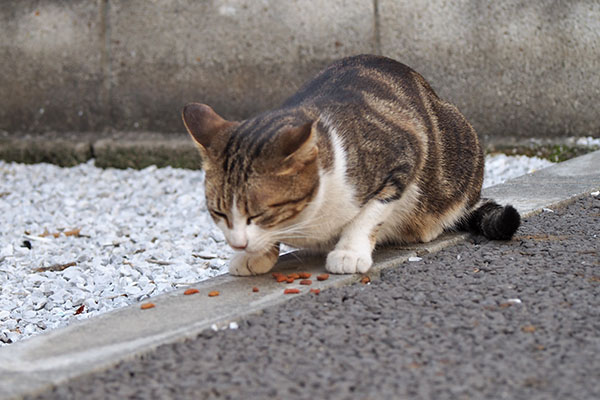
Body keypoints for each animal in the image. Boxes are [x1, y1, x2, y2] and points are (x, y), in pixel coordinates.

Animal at [182, 54, 520, 276]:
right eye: (218, 213)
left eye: (259, 213)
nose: (238, 245)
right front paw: (258, 256)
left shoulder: (403, 155)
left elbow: (369, 214)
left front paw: (348, 252)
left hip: (459, 140)